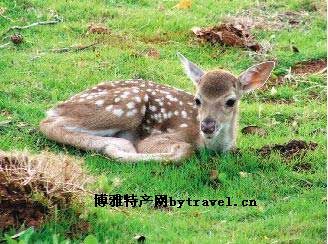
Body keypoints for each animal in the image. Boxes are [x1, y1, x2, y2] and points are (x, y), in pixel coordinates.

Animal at [39, 53, 276, 162]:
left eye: (230, 101)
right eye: (197, 100)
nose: (207, 126)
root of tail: (60, 105)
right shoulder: (161, 137)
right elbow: (185, 150)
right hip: (130, 103)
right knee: (48, 123)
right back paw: (118, 144)